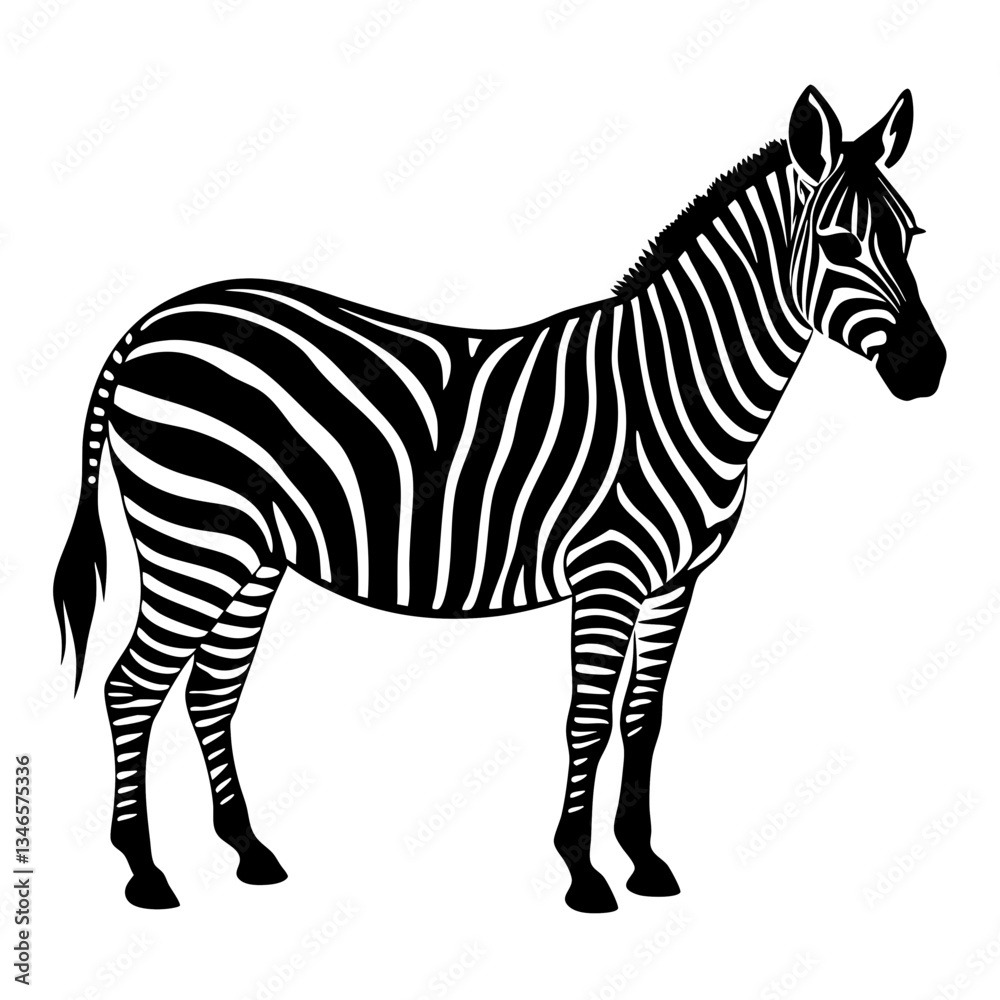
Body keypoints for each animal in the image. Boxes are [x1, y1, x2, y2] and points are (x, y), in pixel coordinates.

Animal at [54, 85, 945, 914]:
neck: (675, 387)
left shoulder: (675, 582)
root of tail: (149, 324)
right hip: (193, 539)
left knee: (210, 690)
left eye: (911, 237)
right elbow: (588, 718)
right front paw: (584, 872)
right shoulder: (607, 574)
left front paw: (646, 862)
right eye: (836, 243)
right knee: (131, 687)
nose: (926, 367)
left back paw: (248, 851)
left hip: (250, 555)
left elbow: (643, 717)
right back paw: (144, 871)